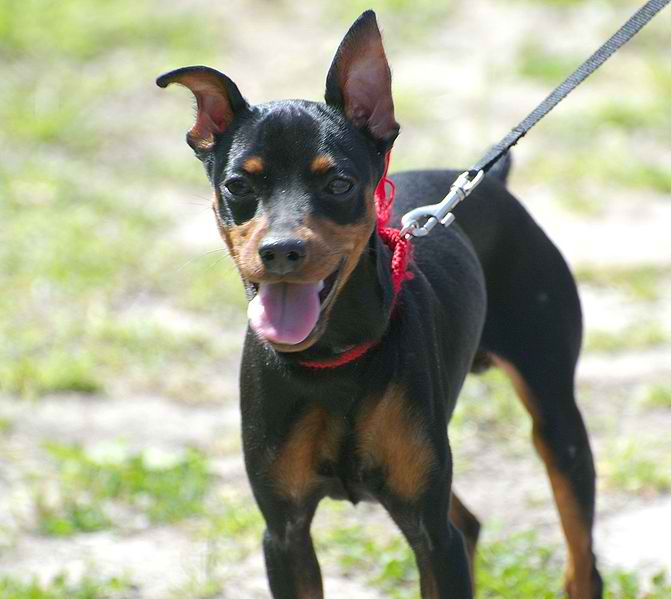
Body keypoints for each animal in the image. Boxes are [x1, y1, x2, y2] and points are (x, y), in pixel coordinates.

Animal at [158, 10, 604, 599]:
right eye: (237, 185)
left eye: (339, 183)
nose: (280, 251)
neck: (331, 358)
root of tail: (490, 183)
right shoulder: (284, 531)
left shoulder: (430, 534)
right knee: (470, 523)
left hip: (555, 420)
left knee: (581, 561)